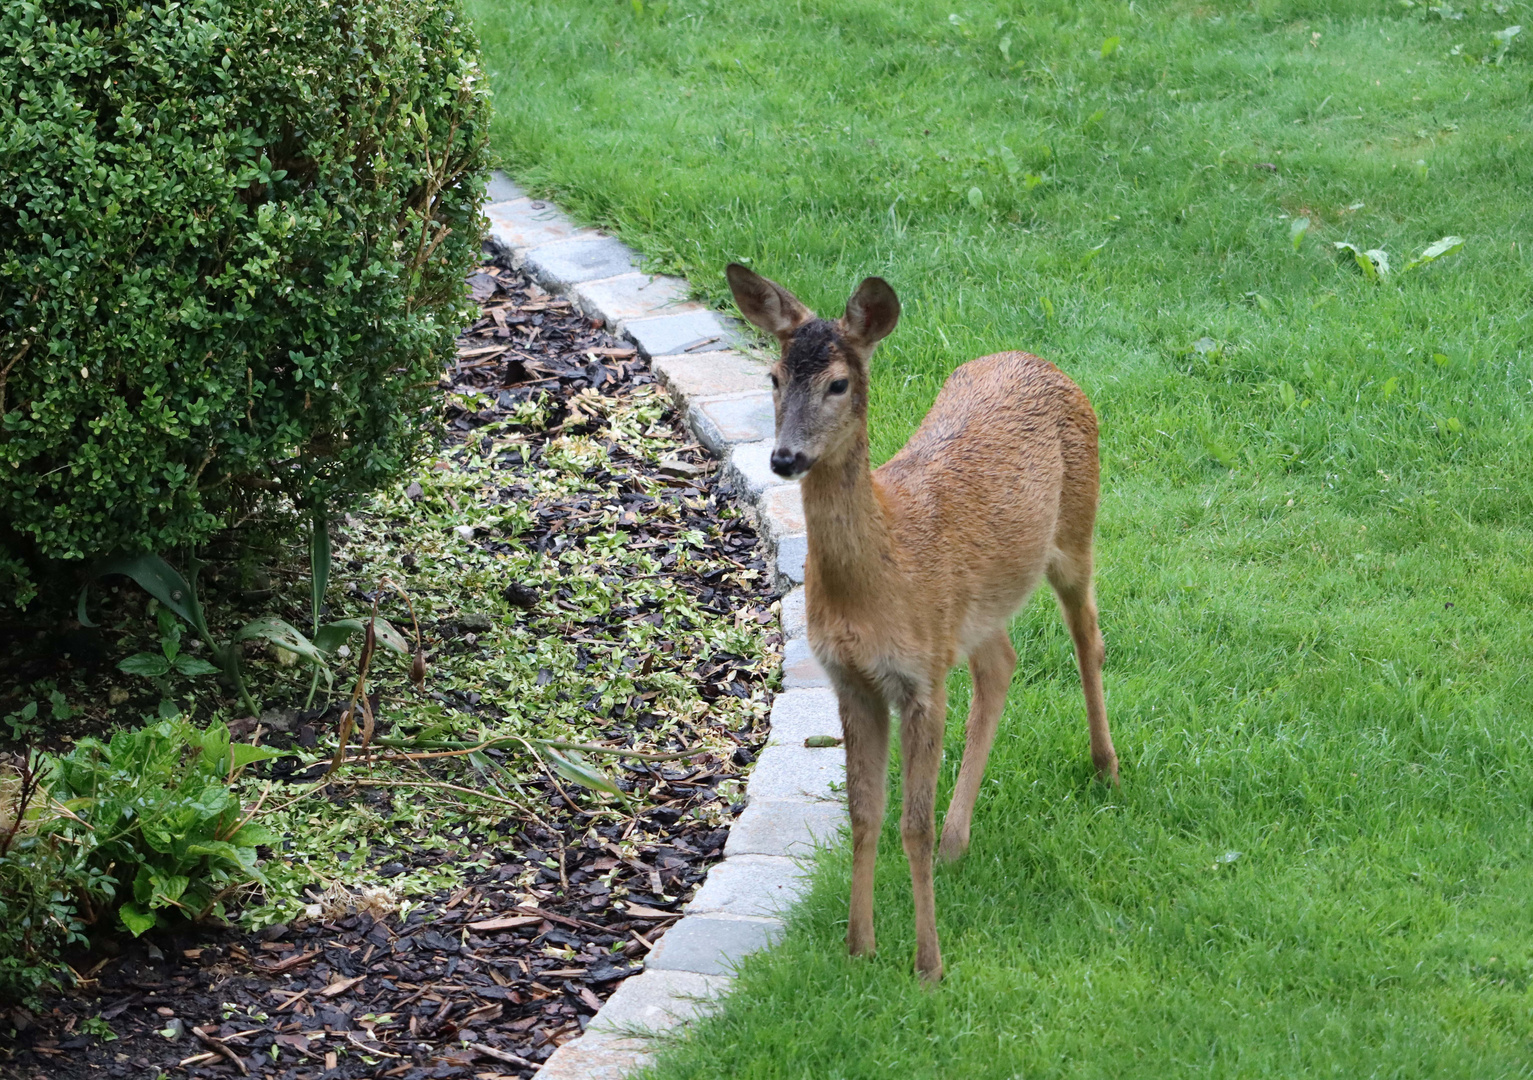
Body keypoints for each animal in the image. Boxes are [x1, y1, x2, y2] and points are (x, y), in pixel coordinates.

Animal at [723, 260, 1122, 980]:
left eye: (838, 382)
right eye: (772, 376)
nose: (784, 458)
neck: (880, 582)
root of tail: (1033, 358)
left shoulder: (921, 677)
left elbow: (911, 822)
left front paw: (928, 965)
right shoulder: (850, 678)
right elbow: (863, 814)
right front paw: (859, 948)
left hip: (1076, 529)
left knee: (1089, 637)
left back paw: (1105, 765)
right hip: (974, 610)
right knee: (1001, 665)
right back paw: (959, 841)